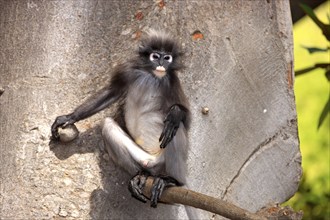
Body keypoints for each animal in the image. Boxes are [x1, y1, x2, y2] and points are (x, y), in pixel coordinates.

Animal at [51, 29, 191, 210]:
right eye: (155, 56)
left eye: (167, 58)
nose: (161, 64)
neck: (151, 75)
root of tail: (152, 162)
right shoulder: (128, 70)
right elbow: (112, 92)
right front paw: (69, 117)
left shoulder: (172, 81)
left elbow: (186, 120)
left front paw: (176, 112)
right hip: (141, 157)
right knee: (107, 125)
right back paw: (140, 175)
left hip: (163, 161)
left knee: (175, 129)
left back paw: (172, 181)